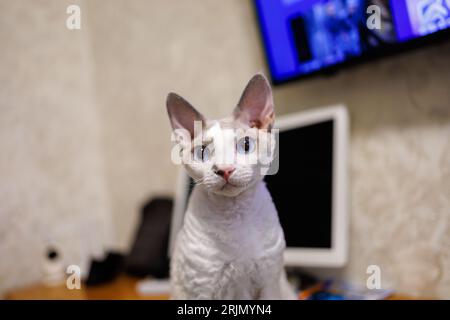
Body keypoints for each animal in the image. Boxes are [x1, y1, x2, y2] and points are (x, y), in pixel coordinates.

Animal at [165, 74, 296, 298]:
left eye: (246, 145)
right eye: (202, 153)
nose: (224, 169)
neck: (235, 214)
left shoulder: (270, 282)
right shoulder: (203, 288)